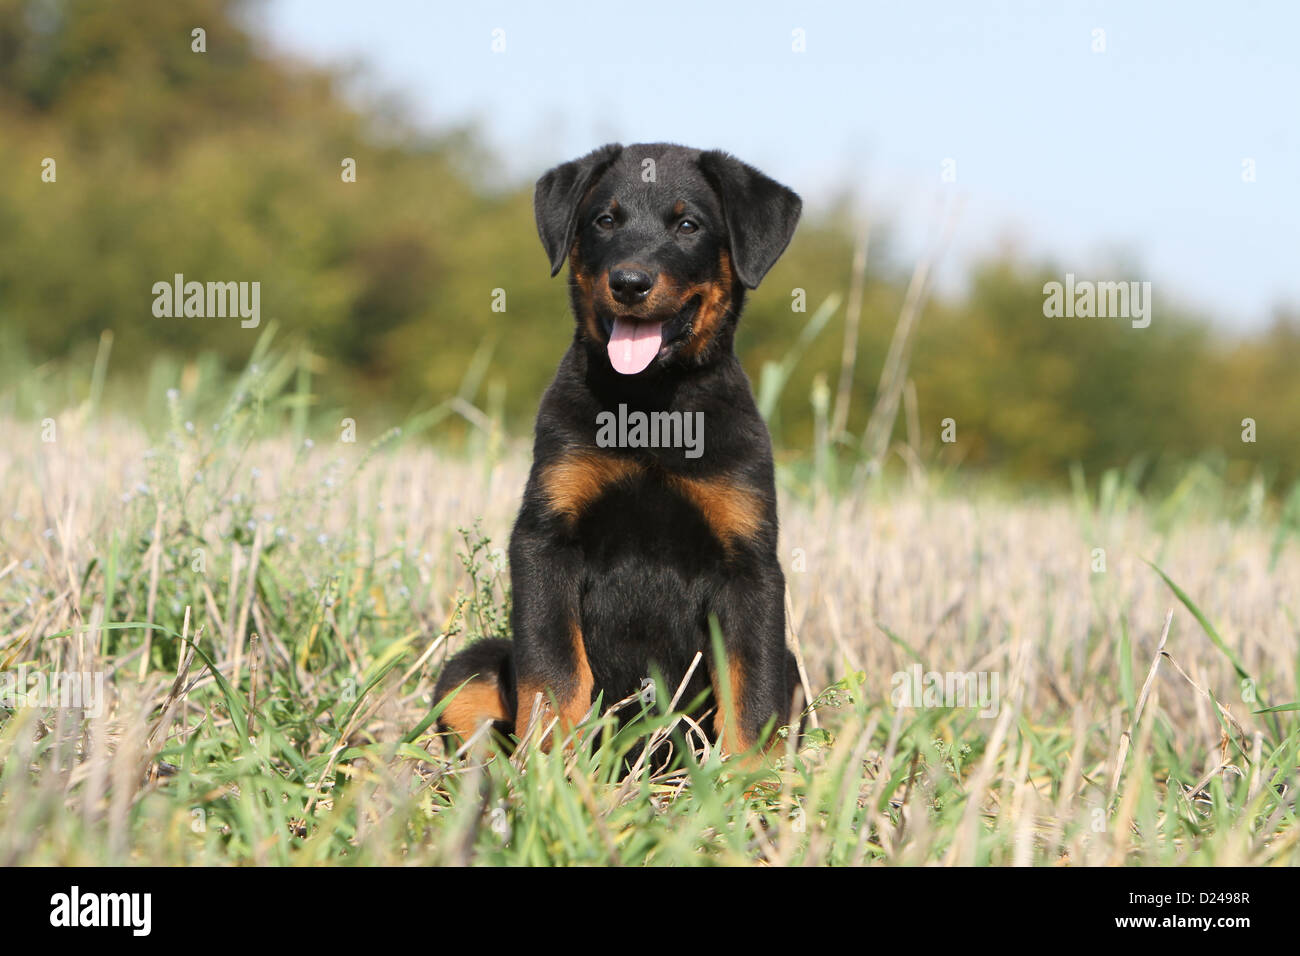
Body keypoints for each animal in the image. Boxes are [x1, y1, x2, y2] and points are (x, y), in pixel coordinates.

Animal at [436, 141, 800, 764]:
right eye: (605, 221)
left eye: (688, 225)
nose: (630, 282)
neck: (650, 410)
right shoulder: (545, 541)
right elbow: (554, 674)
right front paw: (552, 772)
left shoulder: (750, 568)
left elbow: (752, 696)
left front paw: (749, 783)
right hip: (472, 665)